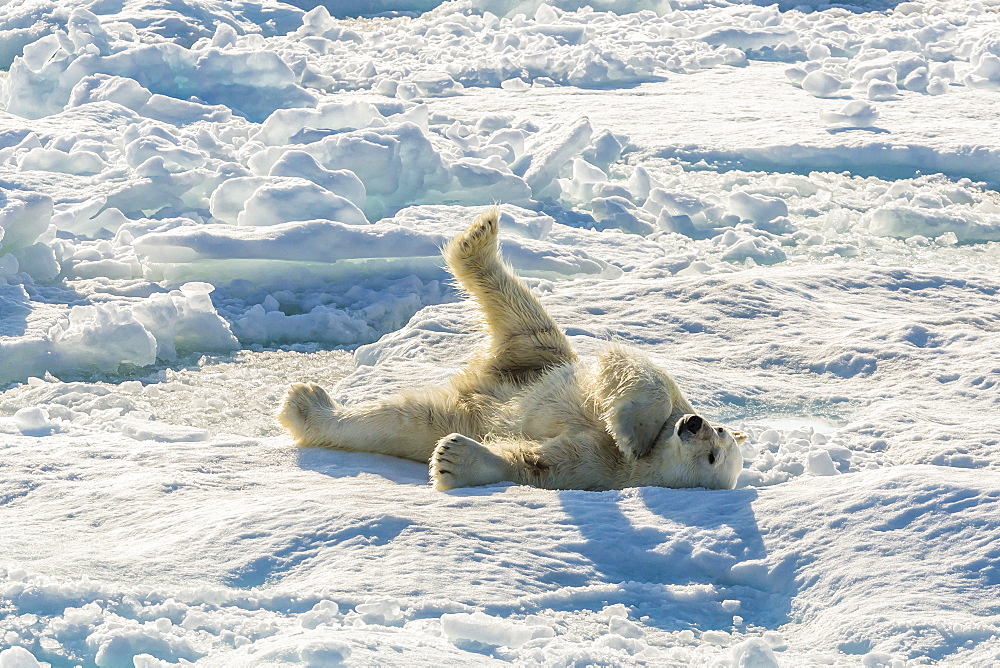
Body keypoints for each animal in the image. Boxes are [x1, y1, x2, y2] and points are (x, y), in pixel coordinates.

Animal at [278, 209, 748, 490]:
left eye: (712, 456)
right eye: (719, 429)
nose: (692, 424)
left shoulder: (599, 470)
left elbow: (534, 462)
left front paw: (454, 459)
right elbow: (642, 370)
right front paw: (632, 430)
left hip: (478, 394)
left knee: (401, 420)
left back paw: (305, 406)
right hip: (538, 358)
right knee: (523, 311)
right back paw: (480, 235)